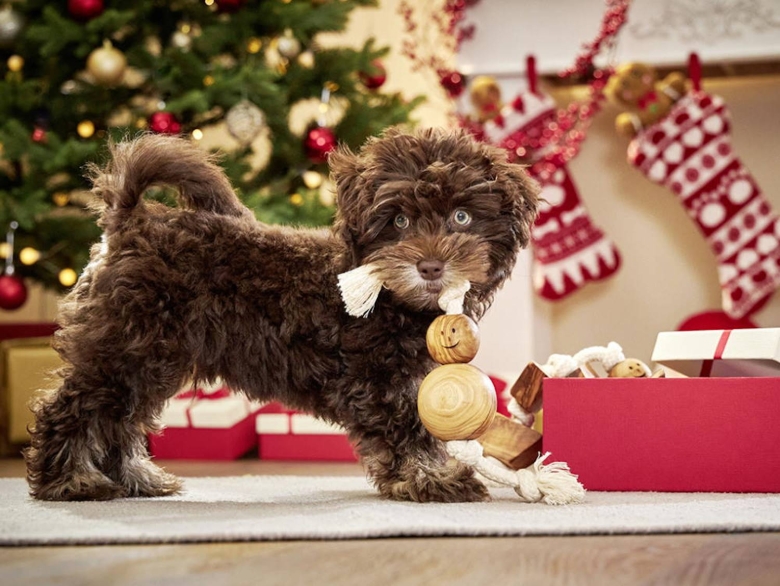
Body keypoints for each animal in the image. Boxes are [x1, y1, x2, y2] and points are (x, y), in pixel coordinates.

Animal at [24, 128, 536, 502]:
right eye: (399, 221)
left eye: (462, 217)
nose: (430, 266)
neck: (393, 297)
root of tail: (130, 223)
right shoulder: (379, 383)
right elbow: (408, 432)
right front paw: (433, 479)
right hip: (125, 348)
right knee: (74, 409)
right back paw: (69, 482)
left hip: (148, 358)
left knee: (120, 418)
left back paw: (136, 479)